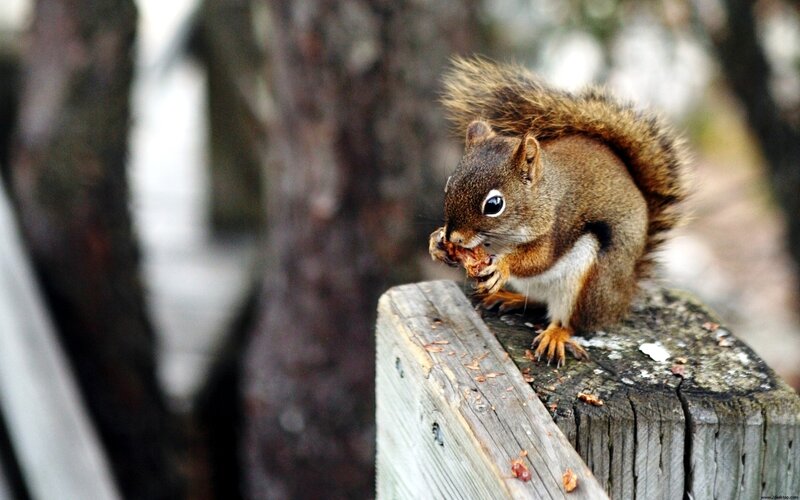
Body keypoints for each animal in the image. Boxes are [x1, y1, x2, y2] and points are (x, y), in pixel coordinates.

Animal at [429, 57, 690, 367]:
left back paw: (555, 335)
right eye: (448, 184)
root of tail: (624, 295)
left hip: (589, 283)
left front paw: (502, 266)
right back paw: (510, 298)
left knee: (571, 320)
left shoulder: (559, 224)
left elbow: (540, 259)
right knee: (538, 301)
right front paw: (436, 243)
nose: (453, 237)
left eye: (494, 205)